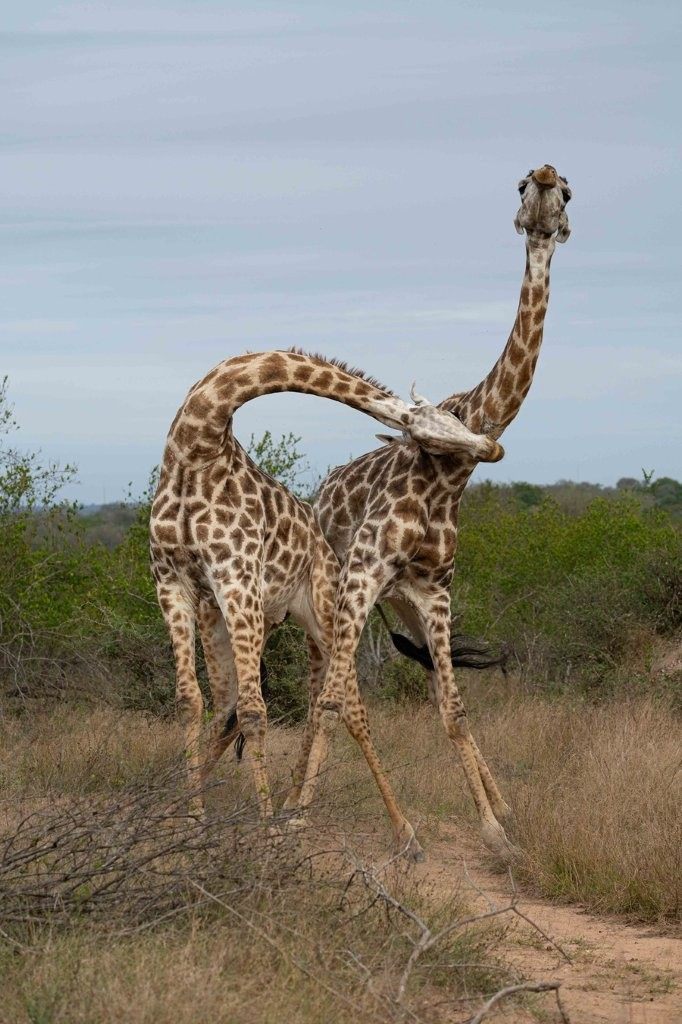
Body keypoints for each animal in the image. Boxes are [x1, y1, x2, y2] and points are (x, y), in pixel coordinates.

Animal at [150, 349, 504, 826]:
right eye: (436, 434)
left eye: (456, 419)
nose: (491, 447)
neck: (196, 447)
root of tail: (331, 553)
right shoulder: (171, 580)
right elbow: (191, 700)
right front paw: (189, 818)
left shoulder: (236, 575)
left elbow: (255, 711)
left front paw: (267, 829)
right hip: (229, 618)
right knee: (228, 703)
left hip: (321, 616)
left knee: (348, 707)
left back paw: (404, 832)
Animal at [292, 165, 572, 861]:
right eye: (523, 186)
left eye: (566, 191)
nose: (544, 176)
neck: (451, 473)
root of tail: (320, 494)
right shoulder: (366, 575)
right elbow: (337, 702)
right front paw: (302, 821)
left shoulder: (434, 592)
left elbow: (453, 707)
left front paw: (498, 828)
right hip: (333, 595)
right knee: (320, 690)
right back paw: (295, 800)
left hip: (399, 605)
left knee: (407, 687)